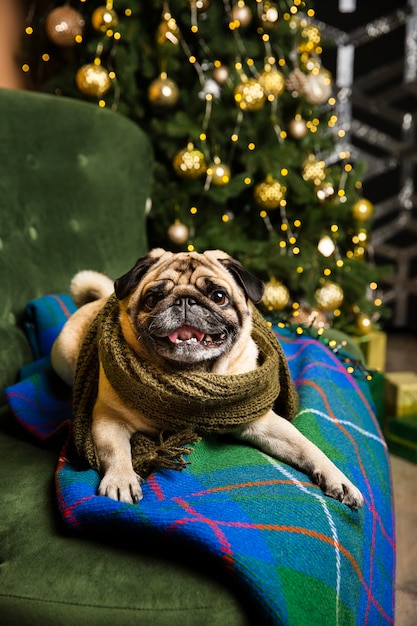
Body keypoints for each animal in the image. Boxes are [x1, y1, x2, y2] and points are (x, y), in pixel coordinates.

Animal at [52, 249, 362, 508]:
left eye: (219, 296)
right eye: (153, 298)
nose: (184, 300)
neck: (193, 377)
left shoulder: (263, 422)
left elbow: (306, 446)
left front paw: (337, 478)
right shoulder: (108, 419)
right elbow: (116, 451)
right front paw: (120, 479)